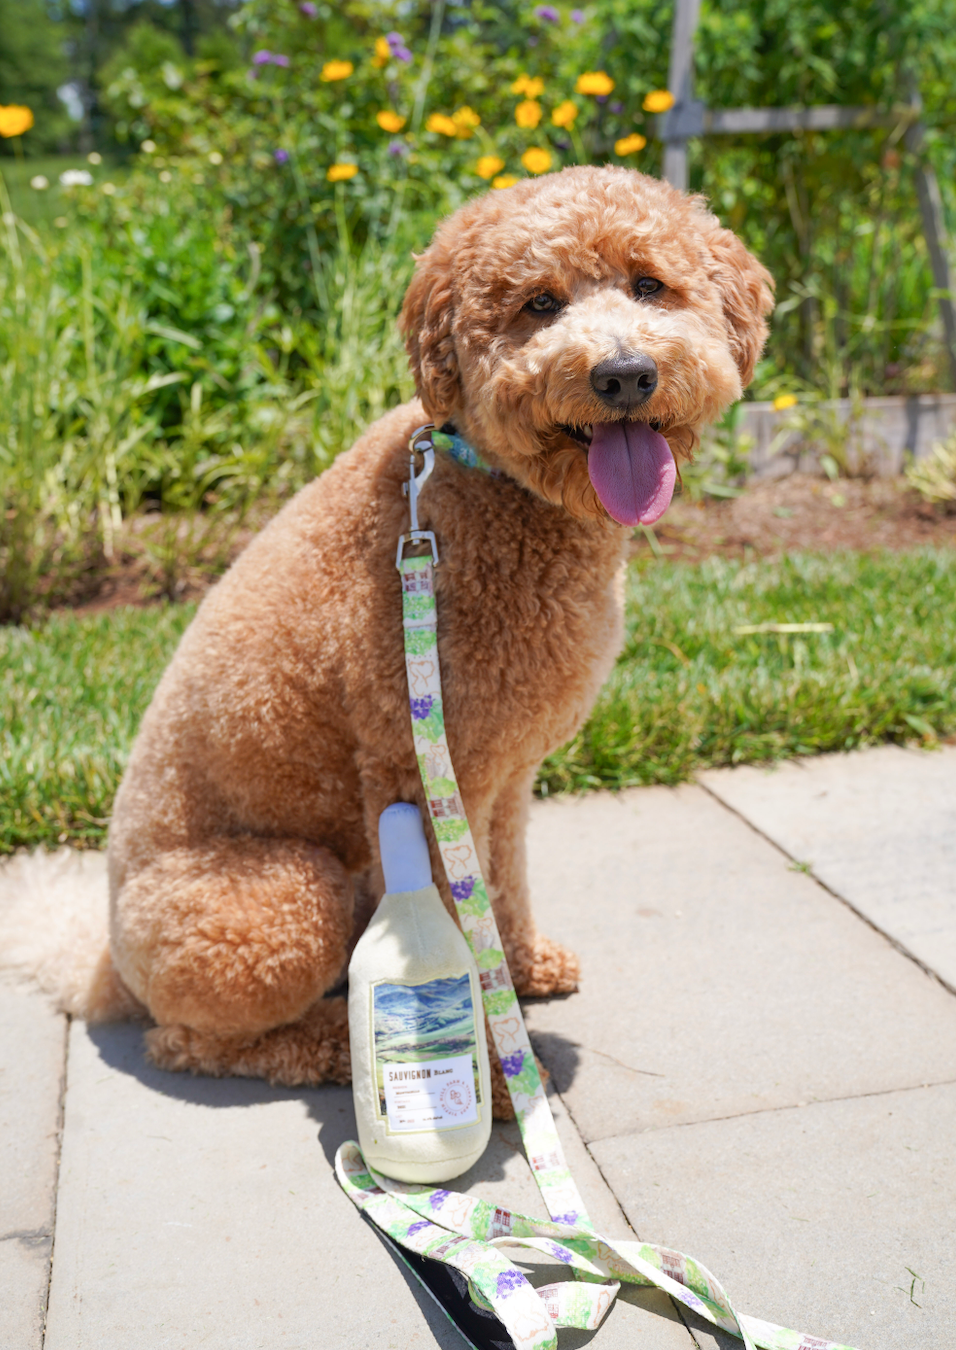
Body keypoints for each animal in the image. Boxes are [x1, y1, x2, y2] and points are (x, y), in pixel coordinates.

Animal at [93, 163, 772, 1112]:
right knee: (191, 1042)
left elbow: (501, 881)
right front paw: (497, 1070)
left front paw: (522, 969)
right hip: (283, 899)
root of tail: (105, 972)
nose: (624, 375)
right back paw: (327, 1048)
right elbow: (454, 919)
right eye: (538, 303)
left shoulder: (502, 776)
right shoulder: (417, 770)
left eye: (649, 285)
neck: (492, 486)